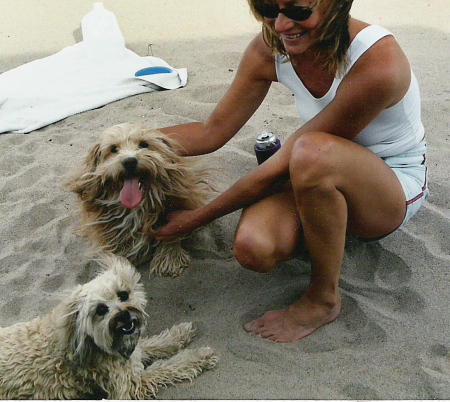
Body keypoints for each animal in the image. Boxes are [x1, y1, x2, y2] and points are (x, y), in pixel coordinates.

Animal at [0, 256, 218, 400]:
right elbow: (168, 367)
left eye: (123, 294)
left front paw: (178, 334)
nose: (123, 315)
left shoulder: (132, 351)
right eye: (100, 310)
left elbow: (154, 344)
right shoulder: (131, 385)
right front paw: (198, 356)